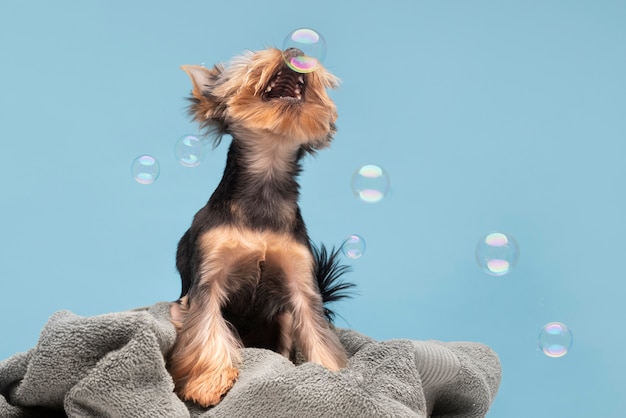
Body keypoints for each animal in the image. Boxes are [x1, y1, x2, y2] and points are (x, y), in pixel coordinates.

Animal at [166, 47, 348, 406]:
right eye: (252, 60)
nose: (295, 49)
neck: (266, 178)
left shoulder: (302, 287)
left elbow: (319, 337)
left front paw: (333, 379)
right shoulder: (208, 280)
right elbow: (206, 331)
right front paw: (208, 383)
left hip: (285, 319)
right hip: (177, 308)